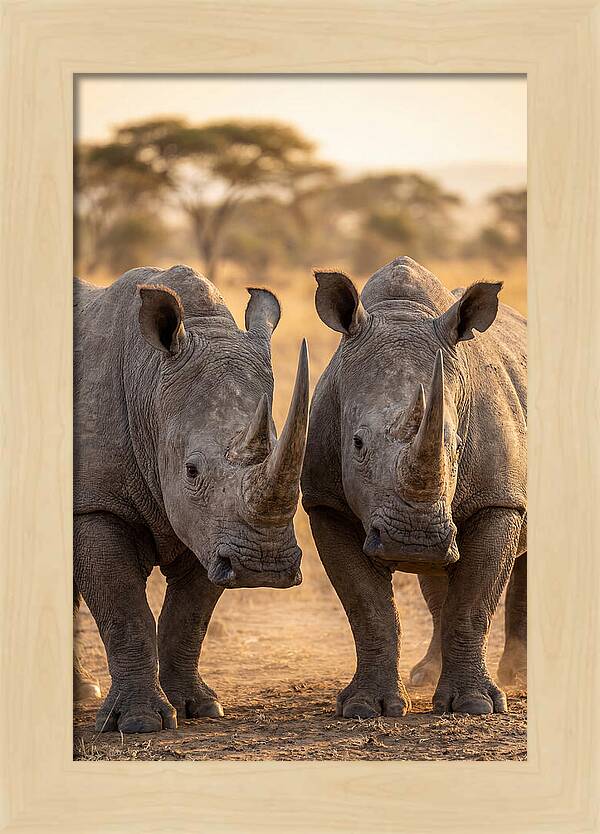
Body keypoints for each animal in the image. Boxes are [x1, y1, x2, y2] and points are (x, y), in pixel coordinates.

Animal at [73, 264, 309, 733]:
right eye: (192, 471)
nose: (264, 566)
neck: (149, 382)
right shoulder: (94, 504)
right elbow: (124, 611)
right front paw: (140, 723)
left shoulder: (212, 528)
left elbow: (189, 616)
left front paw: (198, 708)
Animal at [302, 257, 526, 717]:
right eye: (357, 443)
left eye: (456, 445)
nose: (414, 541)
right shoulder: (326, 503)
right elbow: (368, 609)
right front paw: (366, 708)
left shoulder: (499, 501)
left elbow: (474, 604)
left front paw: (476, 707)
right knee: (439, 581)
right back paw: (426, 674)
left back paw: (518, 677)